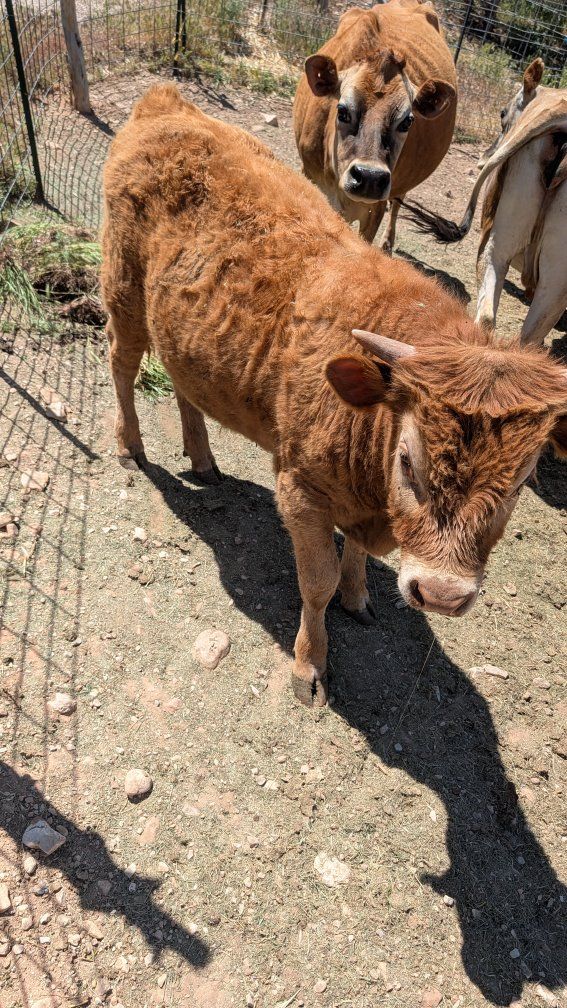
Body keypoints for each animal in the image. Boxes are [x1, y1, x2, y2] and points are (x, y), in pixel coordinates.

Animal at [292, 0, 457, 251]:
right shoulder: (309, 175)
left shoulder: (374, 209)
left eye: (407, 121)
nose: (369, 177)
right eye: (342, 111)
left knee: (398, 202)